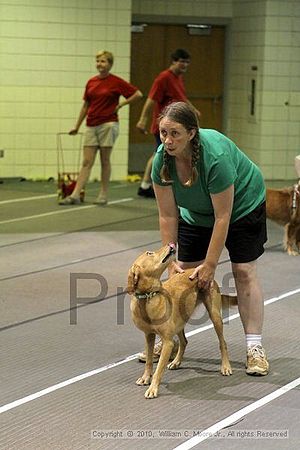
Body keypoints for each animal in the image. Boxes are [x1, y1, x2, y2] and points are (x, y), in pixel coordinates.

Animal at [126, 244, 237, 400]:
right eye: (149, 253)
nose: (171, 244)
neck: (148, 298)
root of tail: (200, 270)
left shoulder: (167, 342)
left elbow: (158, 369)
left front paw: (153, 388)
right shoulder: (148, 336)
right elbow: (148, 362)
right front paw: (145, 378)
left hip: (215, 317)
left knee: (223, 343)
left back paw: (225, 367)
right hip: (179, 322)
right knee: (184, 341)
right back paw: (176, 362)